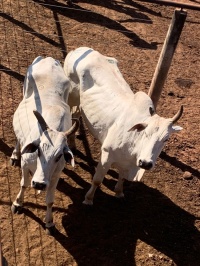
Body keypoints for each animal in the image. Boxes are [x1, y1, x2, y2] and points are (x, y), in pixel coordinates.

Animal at [10, 56, 78, 235]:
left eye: (59, 155)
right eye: (38, 150)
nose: (39, 184)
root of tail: (48, 59)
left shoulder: (55, 175)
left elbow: (50, 200)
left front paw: (49, 222)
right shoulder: (25, 164)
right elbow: (24, 184)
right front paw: (18, 203)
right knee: (19, 139)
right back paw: (15, 153)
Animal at [63, 47, 183, 206]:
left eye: (166, 139)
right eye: (145, 133)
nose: (146, 163)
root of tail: (80, 50)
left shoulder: (126, 164)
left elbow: (122, 178)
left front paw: (119, 192)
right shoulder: (106, 155)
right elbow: (97, 180)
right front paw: (88, 199)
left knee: (76, 116)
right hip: (71, 97)